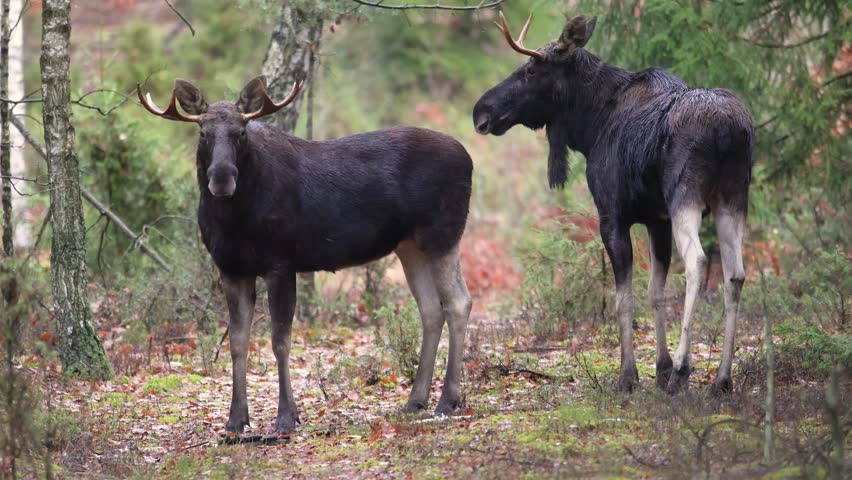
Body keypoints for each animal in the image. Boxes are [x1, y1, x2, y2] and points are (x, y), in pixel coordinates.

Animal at [138, 76, 473, 434]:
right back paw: (415, 400)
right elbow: (238, 341)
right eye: (203, 133)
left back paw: (448, 400)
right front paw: (236, 419)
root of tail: (469, 159)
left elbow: (280, 340)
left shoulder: (281, 262)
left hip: (442, 234)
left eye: (241, 132)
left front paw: (286, 416)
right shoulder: (230, 267)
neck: (234, 220)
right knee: (431, 309)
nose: (222, 178)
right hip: (409, 245)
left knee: (458, 302)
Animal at [473, 13, 754, 395]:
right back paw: (721, 379)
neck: (590, 126)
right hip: (733, 198)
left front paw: (630, 374)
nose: (480, 112)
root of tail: (728, 130)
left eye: (530, 69)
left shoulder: (612, 215)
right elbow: (655, 292)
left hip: (687, 197)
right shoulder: (657, 219)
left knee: (697, 262)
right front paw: (660, 367)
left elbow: (624, 298)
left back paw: (683, 370)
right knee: (735, 274)